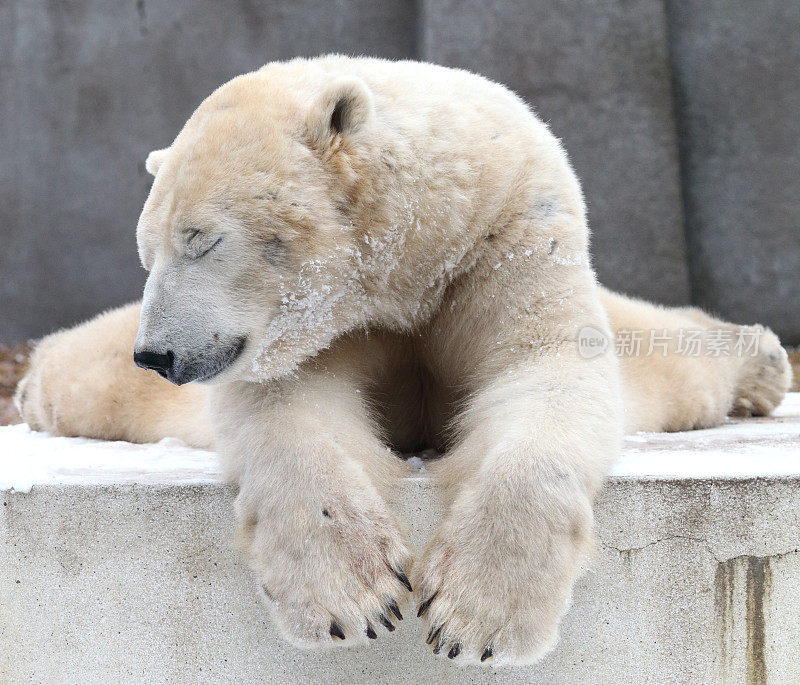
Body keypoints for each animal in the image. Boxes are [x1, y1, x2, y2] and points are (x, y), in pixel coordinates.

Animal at [15, 56, 792, 664]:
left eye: (201, 239)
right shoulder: (325, 328)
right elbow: (291, 407)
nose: (157, 352)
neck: (408, 260)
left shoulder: (507, 236)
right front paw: (354, 598)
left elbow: (543, 369)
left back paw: (761, 361)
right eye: (147, 251)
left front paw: (476, 617)